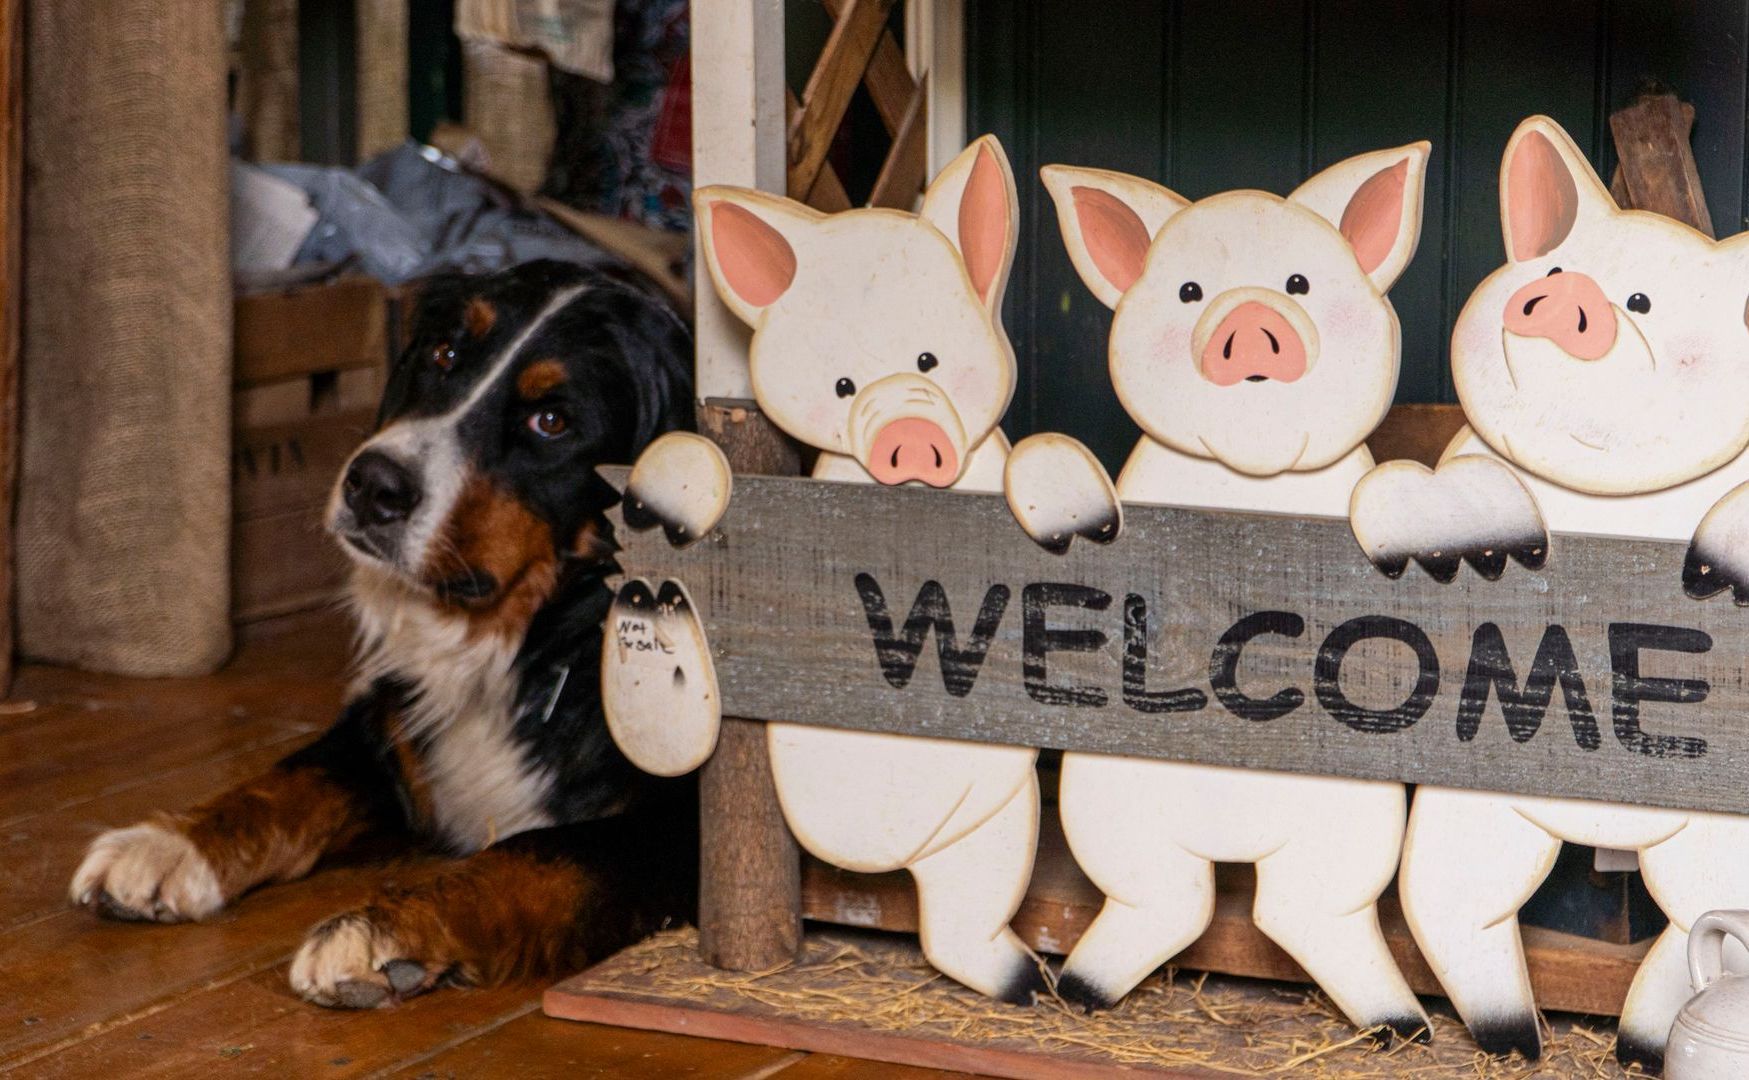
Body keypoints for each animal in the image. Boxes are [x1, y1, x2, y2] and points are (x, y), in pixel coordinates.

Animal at [69, 257, 696, 1008]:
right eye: (445, 354)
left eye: (551, 420)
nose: (372, 484)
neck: (536, 640)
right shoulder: (394, 727)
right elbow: (290, 778)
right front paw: (168, 844)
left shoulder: (677, 833)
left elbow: (536, 850)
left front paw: (385, 929)